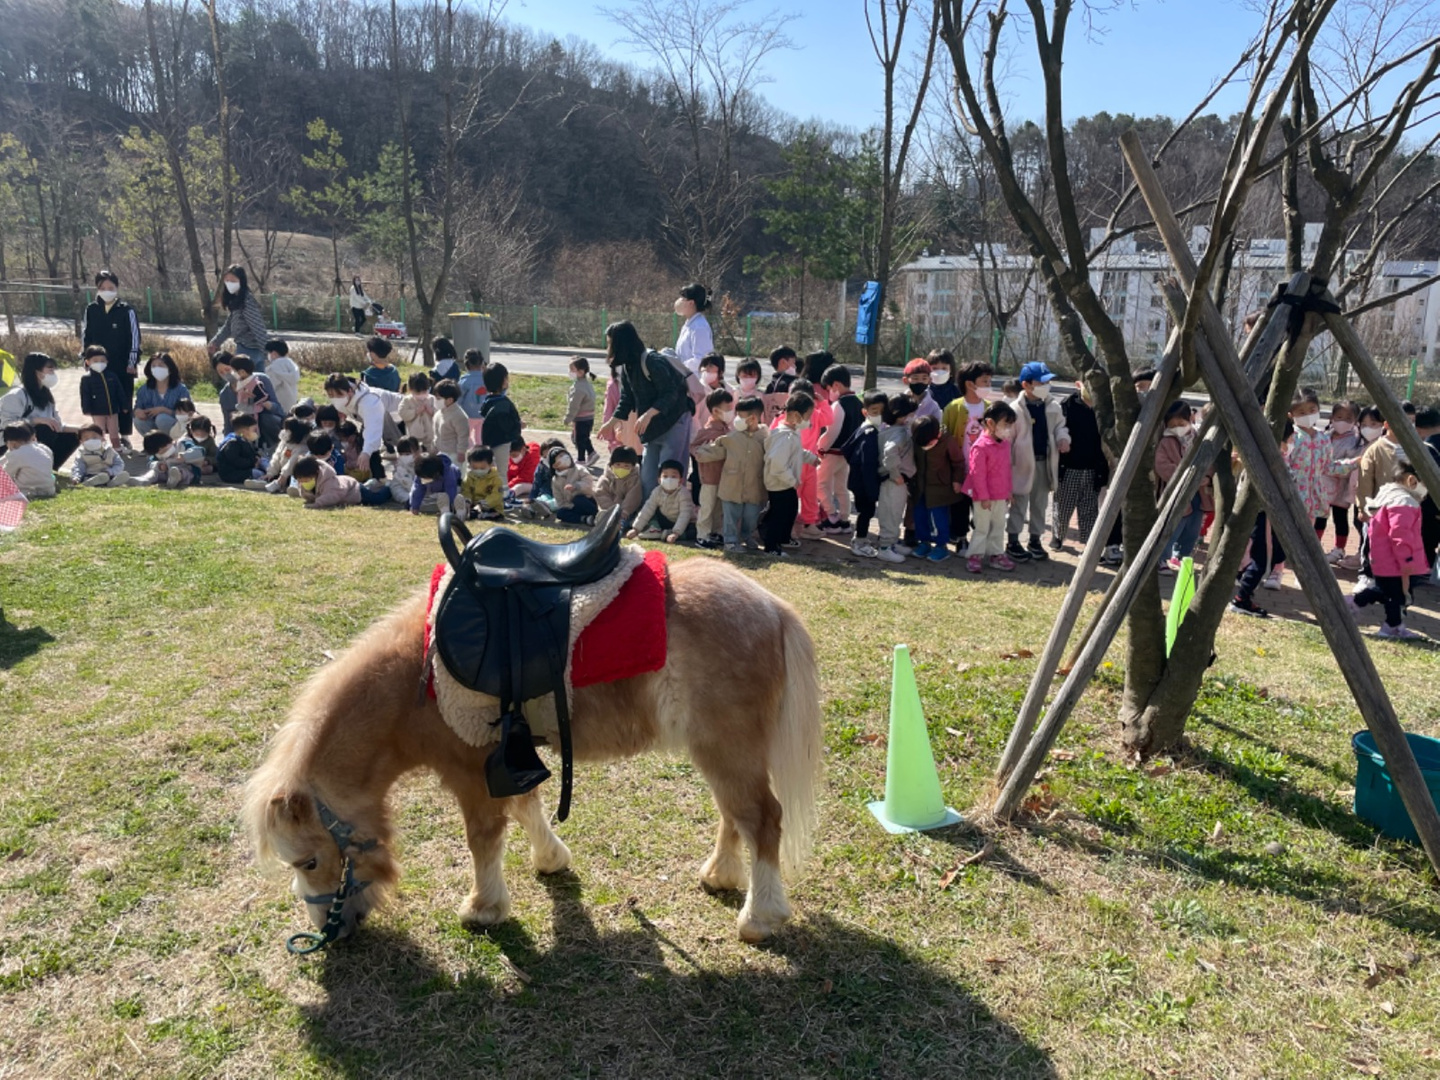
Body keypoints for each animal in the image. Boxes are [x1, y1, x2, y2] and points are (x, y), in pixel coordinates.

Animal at [247, 558, 823, 944]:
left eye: (308, 859)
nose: (330, 931)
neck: (417, 676)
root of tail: (772, 608)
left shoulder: (470, 771)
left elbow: (483, 838)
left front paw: (483, 908)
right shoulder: (508, 759)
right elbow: (527, 808)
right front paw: (550, 860)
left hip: (729, 747)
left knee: (762, 818)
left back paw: (760, 917)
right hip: (720, 749)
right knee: (735, 814)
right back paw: (721, 875)